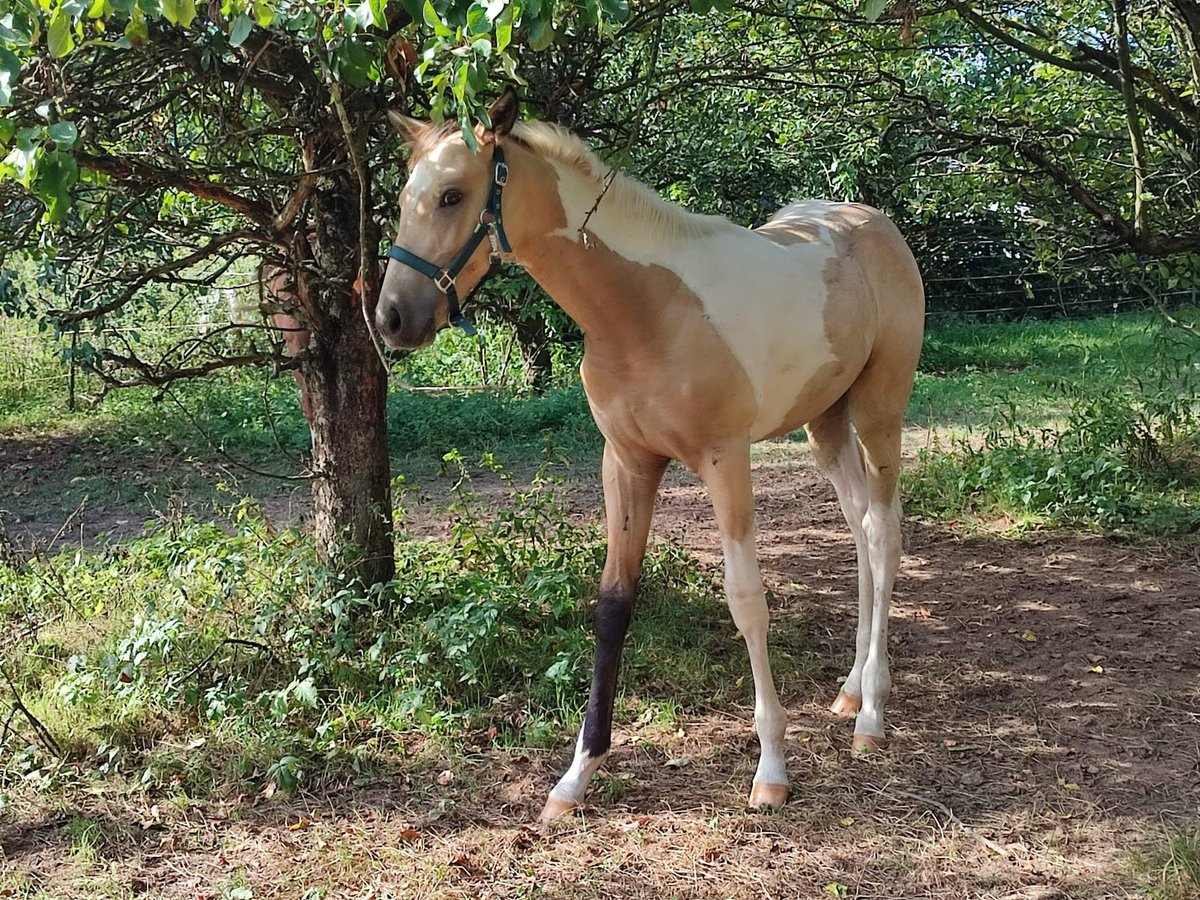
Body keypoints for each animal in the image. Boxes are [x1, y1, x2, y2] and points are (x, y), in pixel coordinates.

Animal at [376, 89, 925, 822]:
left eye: (452, 195)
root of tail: (869, 221)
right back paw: (852, 690)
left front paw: (772, 768)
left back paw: (872, 715)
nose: (391, 318)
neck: (645, 310)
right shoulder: (627, 464)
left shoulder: (725, 460)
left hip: (878, 412)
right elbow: (613, 605)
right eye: (404, 196)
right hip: (825, 424)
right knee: (862, 530)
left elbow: (746, 599)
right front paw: (575, 776)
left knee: (884, 534)